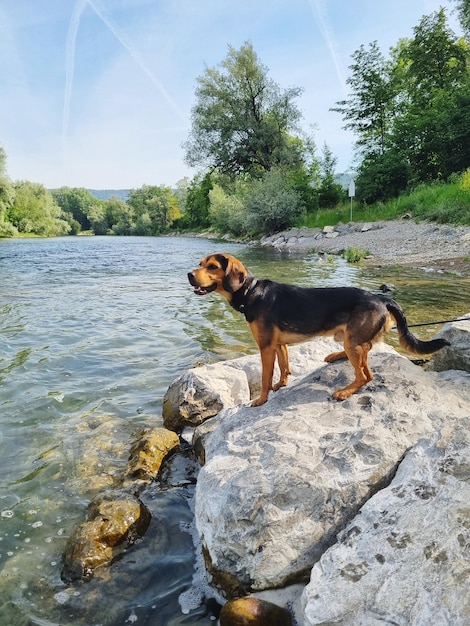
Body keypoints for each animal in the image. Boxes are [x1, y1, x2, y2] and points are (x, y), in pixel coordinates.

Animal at [188, 252, 452, 404]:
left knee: (366, 374)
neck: (251, 292)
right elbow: (284, 368)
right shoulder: (279, 345)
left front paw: (261, 400)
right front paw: (281, 385)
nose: (189, 274)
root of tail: (381, 298)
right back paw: (336, 356)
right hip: (351, 338)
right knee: (365, 357)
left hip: (353, 340)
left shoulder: (265, 348)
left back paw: (345, 391)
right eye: (200, 264)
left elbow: (264, 378)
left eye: (212, 267)